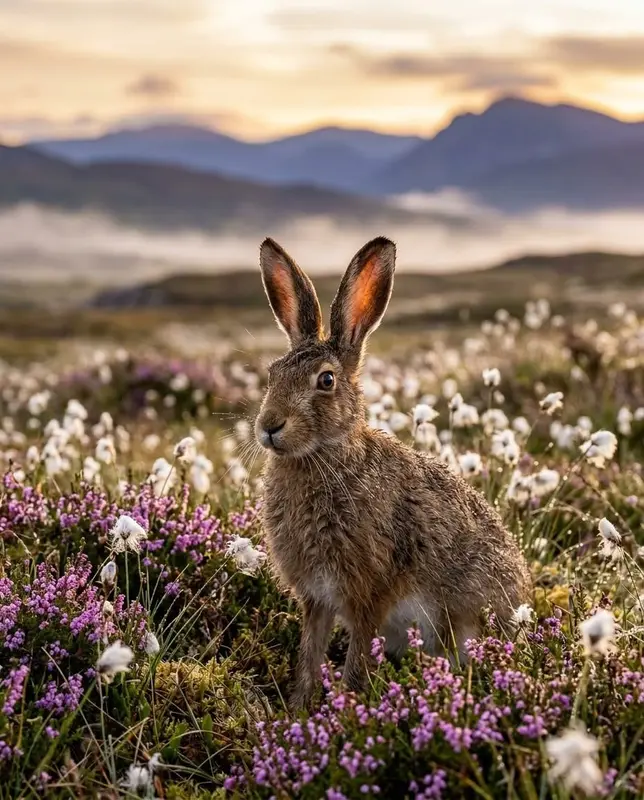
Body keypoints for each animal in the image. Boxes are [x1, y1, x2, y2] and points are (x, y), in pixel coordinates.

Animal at [255, 235, 532, 710]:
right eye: (272, 374)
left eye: (325, 381)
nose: (269, 425)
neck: (325, 456)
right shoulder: (317, 597)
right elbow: (309, 655)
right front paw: (298, 711)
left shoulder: (369, 592)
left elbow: (355, 660)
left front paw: (343, 710)